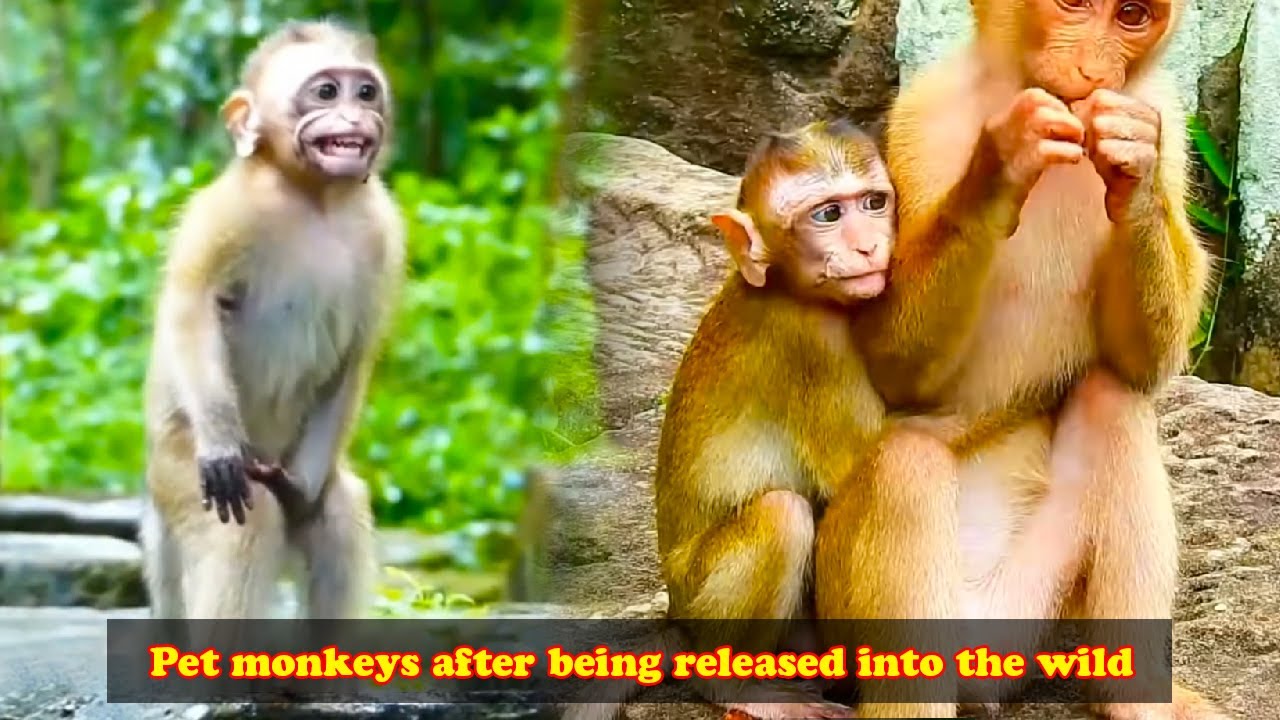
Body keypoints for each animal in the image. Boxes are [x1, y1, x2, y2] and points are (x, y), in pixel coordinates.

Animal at [138, 20, 404, 621]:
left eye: (366, 92)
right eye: (326, 92)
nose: (354, 119)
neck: (314, 198)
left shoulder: (383, 231)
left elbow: (356, 350)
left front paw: (302, 495)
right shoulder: (225, 211)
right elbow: (192, 306)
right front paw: (220, 446)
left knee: (337, 514)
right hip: (172, 473)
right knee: (246, 521)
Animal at [814, 1, 1228, 718]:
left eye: (1131, 15)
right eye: (1072, 6)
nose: (1091, 70)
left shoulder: (1167, 117)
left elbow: (1142, 366)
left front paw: (1133, 164)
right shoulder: (924, 120)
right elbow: (891, 370)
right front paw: (1003, 166)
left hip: (1030, 609)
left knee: (1111, 397)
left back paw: (1139, 698)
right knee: (904, 465)